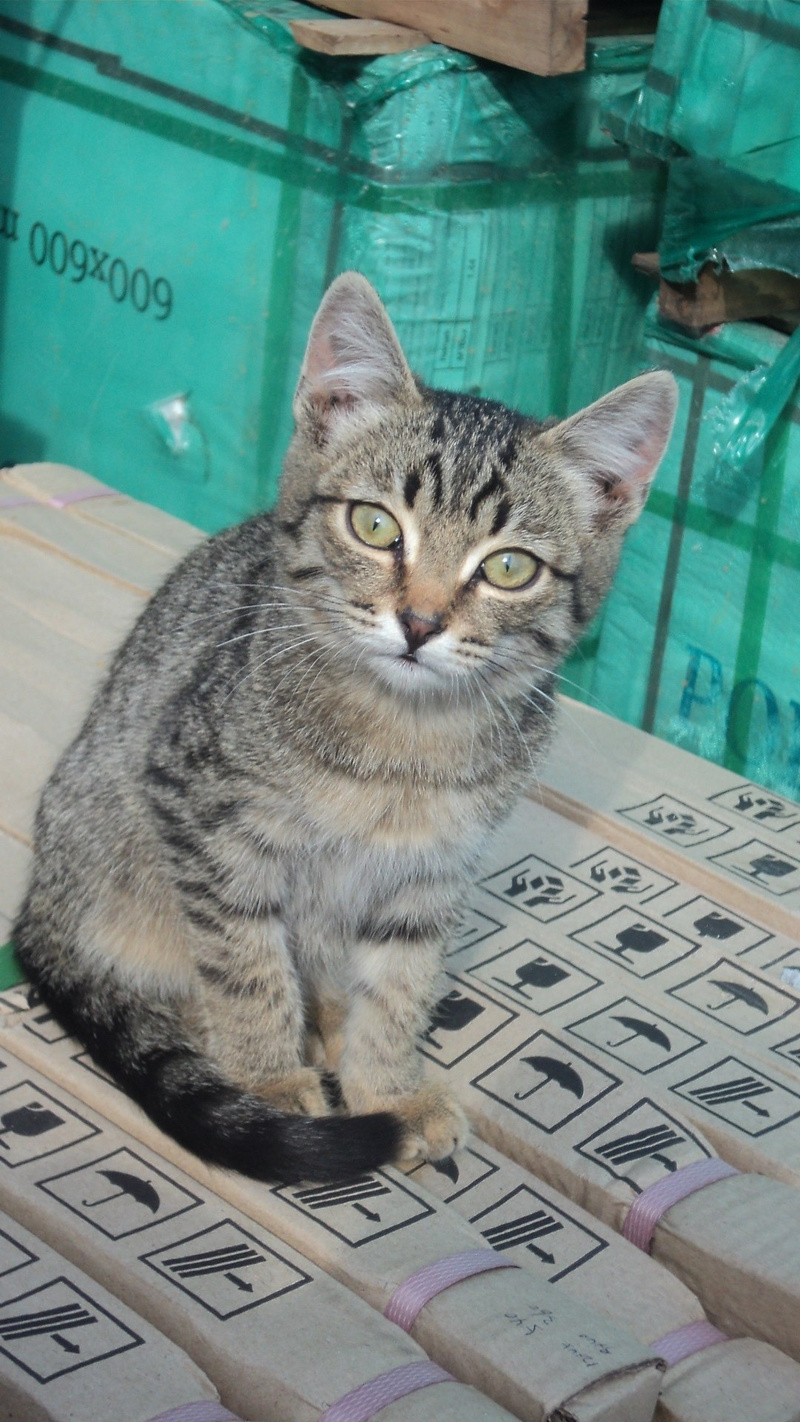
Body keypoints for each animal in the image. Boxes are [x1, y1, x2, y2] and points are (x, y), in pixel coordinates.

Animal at [13, 272, 676, 1184]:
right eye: (375, 525)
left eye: (509, 568)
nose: (421, 623)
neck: (403, 739)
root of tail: (41, 897)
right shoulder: (199, 808)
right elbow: (244, 960)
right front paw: (264, 1078)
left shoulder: (432, 871)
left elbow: (399, 984)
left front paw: (385, 1085)